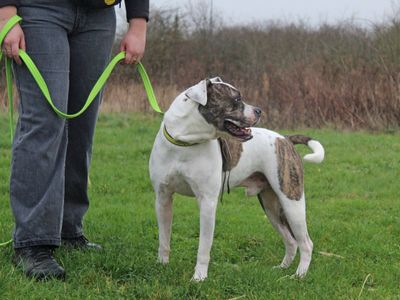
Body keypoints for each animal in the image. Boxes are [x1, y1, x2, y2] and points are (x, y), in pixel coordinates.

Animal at [150, 77, 324, 282]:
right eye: (236, 99)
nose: (259, 110)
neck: (185, 141)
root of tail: (285, 139)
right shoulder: (163, 198)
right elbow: (164, 238)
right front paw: (162, 265)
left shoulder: (207, 202)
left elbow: (203, 247)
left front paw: (199, 277)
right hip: (271, 206)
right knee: (291, 240)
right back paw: (282, 268)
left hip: (291, 202)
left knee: (306, 243)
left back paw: (299, 275)